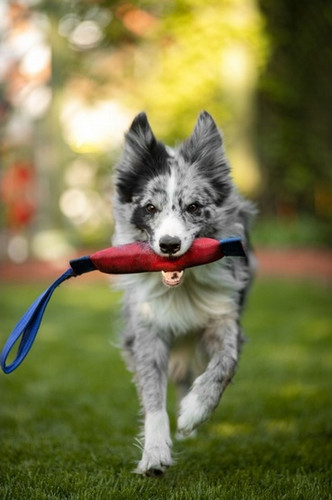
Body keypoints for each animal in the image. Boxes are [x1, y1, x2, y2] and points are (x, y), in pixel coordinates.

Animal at [111, 111, 254, 474]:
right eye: (149, 208)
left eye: (193, 206)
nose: (169, 245)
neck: (182, 286)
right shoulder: (146, 325)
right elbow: (152, 394)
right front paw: (155, 453)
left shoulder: (224, 314)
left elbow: (226, 363)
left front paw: (193, 412)